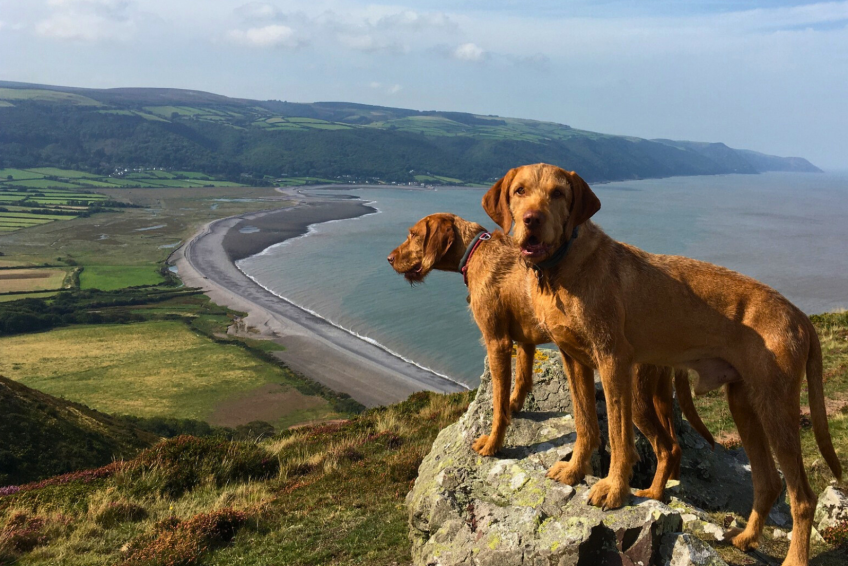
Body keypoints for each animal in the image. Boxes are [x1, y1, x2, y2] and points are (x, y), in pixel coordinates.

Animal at [388, 213, 712, 502]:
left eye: (413, 235)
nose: (389, 258)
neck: (476, 250)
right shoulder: (524, 341)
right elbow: (521, 380)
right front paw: (515, 406)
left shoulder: (497, 342)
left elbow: (497, 402)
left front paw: (493, 443)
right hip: (657, 394)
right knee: (675, 446)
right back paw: (664, 489)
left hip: (634, 395)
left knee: (665, 447)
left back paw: (651, 493)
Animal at [484, 164, 840, 566]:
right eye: (519, 190)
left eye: (558, 193)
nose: (532, 219)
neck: (564, 267)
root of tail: (799, 315)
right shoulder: (573, 359)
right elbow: (585, 424)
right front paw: (575, 470)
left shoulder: (613, 361)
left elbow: (619, 436)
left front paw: (614, 489)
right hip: (744, 404)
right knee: (767, 482)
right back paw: (747, 538)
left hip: (777, 409)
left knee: (802, 496)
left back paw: (793, 557)